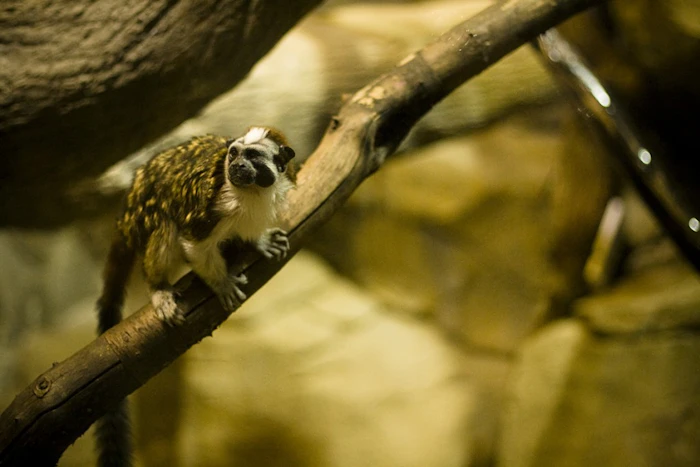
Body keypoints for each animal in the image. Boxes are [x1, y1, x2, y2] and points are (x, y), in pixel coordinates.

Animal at [93, 126, 296, 467]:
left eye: (253, 156)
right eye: (233, 154)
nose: (236, 167)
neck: (252, 194)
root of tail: (127, 211)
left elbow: (251, 229)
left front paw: (259, 241)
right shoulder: (210, 208)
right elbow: (195, 244)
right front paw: (222, 284)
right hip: (145, 224)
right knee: (163, 225)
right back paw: (159, 287)